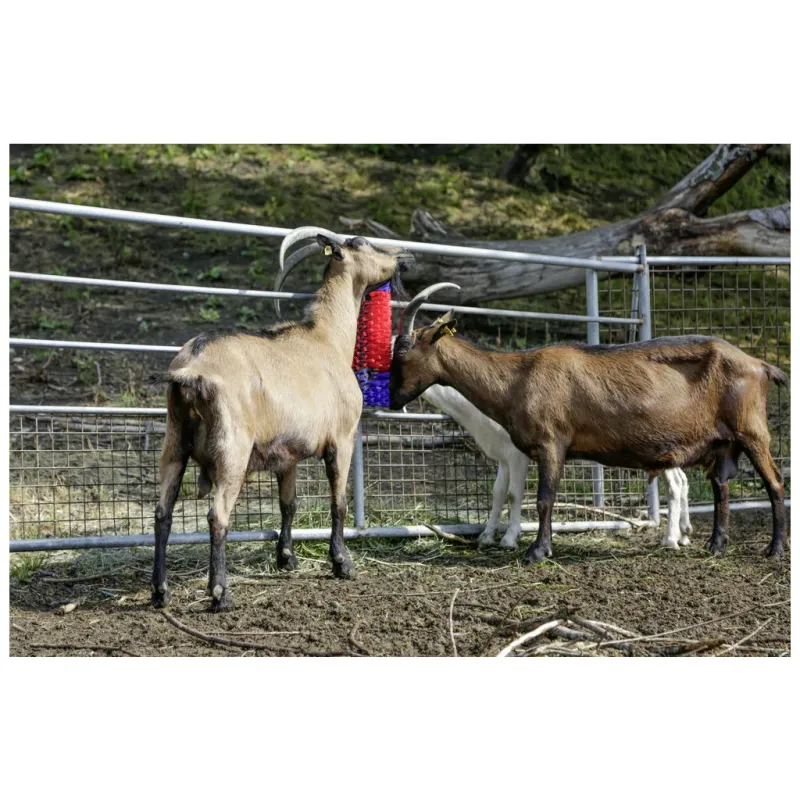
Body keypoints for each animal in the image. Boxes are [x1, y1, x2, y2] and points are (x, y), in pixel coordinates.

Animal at [152, 228, 413, 611]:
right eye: (362, 242)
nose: (405, 257)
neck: (326, 338)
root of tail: (191, 369)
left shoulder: (287, 453)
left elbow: (288, 504)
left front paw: (287, 557)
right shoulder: (342, 439)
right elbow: (339, 502)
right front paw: (342, 563)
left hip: (174, 440)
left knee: (162, 512)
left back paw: (160, 592)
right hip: (232, 449)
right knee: (217, 515)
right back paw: (220, 593)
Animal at [422, 383, 693, 550]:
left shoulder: (517, 455)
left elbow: (513, 494)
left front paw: (509, 539)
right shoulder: (502, 456)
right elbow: (497, 493)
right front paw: (486, 537)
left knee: (675, 484)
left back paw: (670, 540)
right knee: (682, 479)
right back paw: (685, 533)